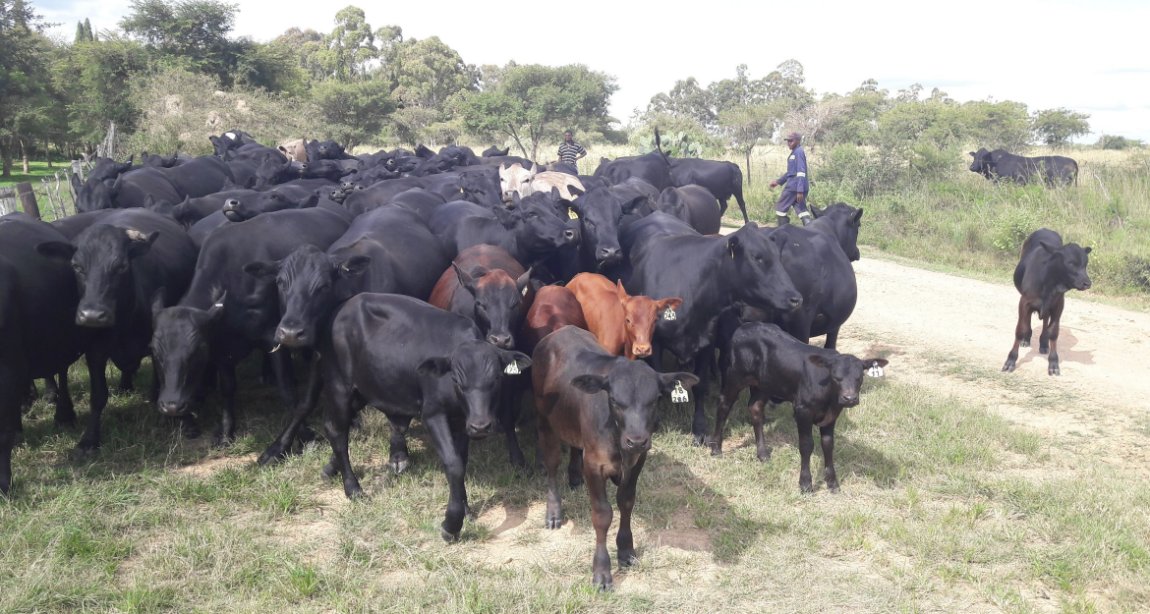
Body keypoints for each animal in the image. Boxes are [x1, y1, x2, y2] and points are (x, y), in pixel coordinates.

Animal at [36, 209, 198, 451]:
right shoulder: (94, 351)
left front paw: (184, 420)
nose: (92, 315)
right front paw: (89, 440)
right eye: (77, 267)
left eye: (121, 266)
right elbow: (97, 396)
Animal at [321, 293, 531, 543]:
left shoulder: (462, 422)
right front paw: (452, 524)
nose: (481, 426)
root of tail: (345, 304)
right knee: (337, 432)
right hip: (339, 387)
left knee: (334, 428)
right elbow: (453, 463)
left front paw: (466, 509)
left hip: (362, 391)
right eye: (457, 380)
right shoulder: (433, 414)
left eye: (497, 378)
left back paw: (331, 468)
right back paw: (353, 489)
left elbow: (461, 461)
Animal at [532, 325, 698, 590]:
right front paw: (601, 571)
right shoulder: (594, 465)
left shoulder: (638, 460)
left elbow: (626, 501)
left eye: (656, 399)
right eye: (614, 400)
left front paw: (626, 550)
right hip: (544, 421)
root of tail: (559, 331)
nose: (636, 440)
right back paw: (554, 512)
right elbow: (602, 515)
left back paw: (575, 478)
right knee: (552, 466)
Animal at [709, 322, 888, 493]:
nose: (849, 398)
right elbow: (806, 445)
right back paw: (716, 448)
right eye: (835, 377)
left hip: (766, 383)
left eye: (860, 377)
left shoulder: (832, 415)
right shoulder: (803, 411)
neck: (829, 399)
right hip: (735, 375)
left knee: (756, 408)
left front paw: (832, 483)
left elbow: (828, 444)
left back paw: (762, 454)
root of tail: (744, 327)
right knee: (724, 405)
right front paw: (806, 483)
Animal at [1002, 228, 1092, 375]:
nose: (1087, 283)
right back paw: (1026, 339)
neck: (1049, 283)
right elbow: (1020, 329)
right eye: (1071, 263)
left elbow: (1053, 332)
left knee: (1045, 322)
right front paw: (1011, 360)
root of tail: (1045, 229)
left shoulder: (1058, 305)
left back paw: (1043, 343)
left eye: (1085, 264)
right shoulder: (1024, 301)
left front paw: (1053, 362)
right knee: (1028, 320)